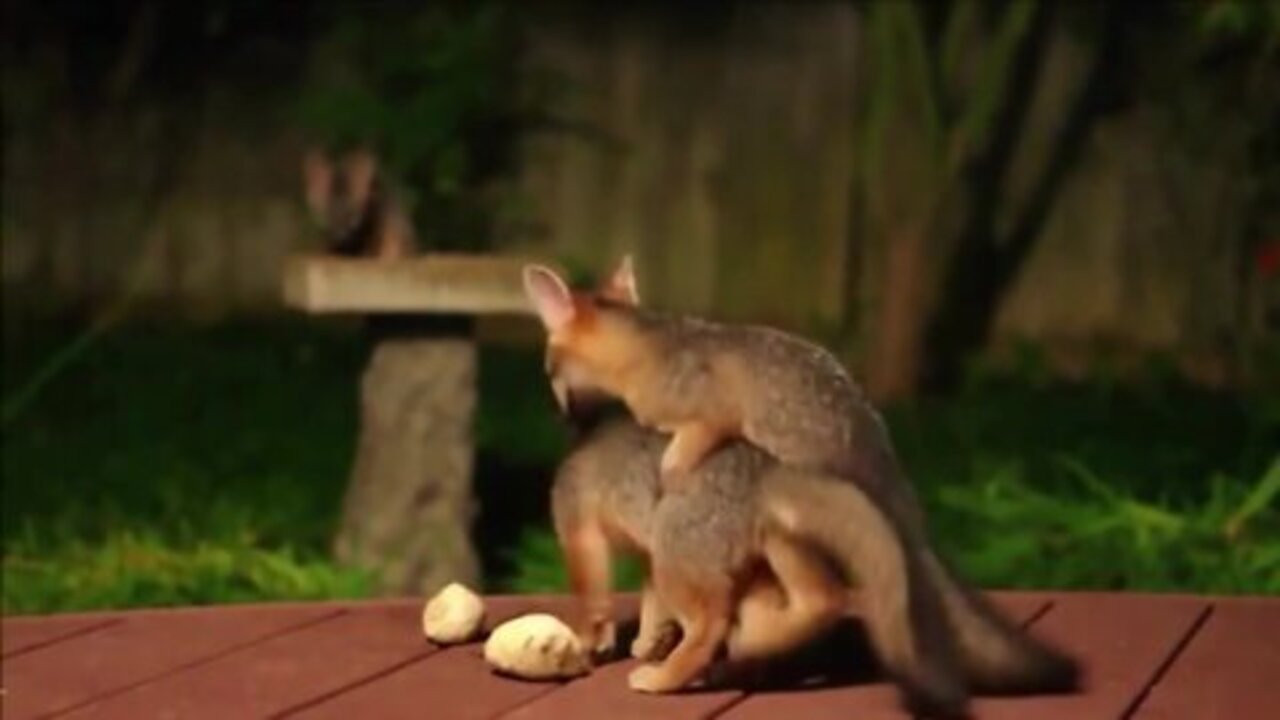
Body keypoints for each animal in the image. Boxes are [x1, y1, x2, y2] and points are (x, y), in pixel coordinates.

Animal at [555, 407, 1075, 712]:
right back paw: (748, 653)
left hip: (682, 557)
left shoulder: (582, 528)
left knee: (710, 626)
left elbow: (595, 599)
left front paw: (593, 643)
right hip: (758, 559)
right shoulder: (649, 554)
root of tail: (766, 468)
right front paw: (647, 640)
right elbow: (650, 606)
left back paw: (668, 677)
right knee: (819, 600)